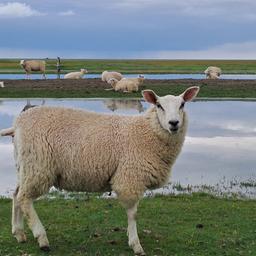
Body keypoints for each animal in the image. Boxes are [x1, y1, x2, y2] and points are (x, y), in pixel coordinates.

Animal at [1, 86, 199, 256]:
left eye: (182, 104)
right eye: (159, 105)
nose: (174, 123)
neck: (146, 132)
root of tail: (17, 124)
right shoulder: (130, 178)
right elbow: (133, 213)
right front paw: (136, 244)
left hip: (25, 165)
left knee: (16, 195)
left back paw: (19, 233)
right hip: (38, 165)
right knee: (24, 198)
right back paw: (42, 238)